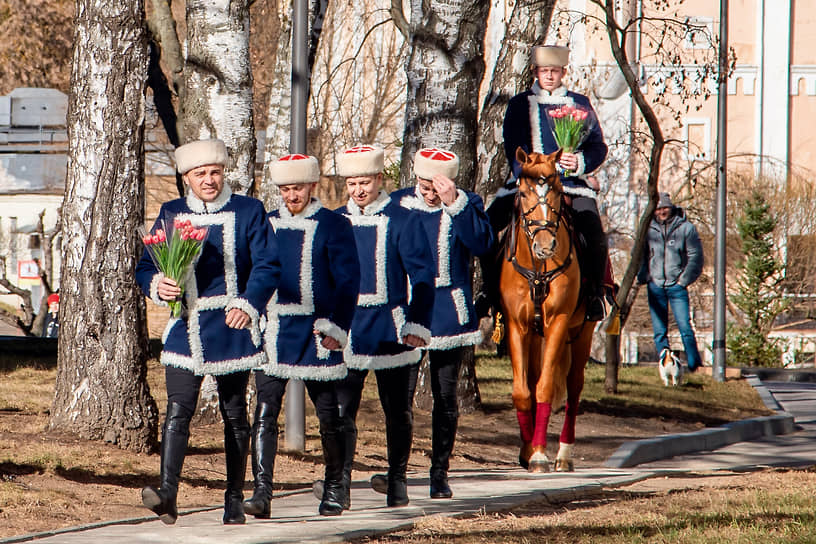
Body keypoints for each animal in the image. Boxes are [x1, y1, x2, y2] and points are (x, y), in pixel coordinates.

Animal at [500, 148, 596, 472]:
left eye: (555, 190)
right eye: (524, 192)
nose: (546, 245)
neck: (539, 267)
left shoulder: (558, 322)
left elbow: (544, 388)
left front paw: (540, 453)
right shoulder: (516, 326)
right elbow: (522, 391)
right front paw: (529, 450)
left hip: (582, 332)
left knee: (574, 386)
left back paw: (564, 454)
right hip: (534, 335)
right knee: (532, 380)